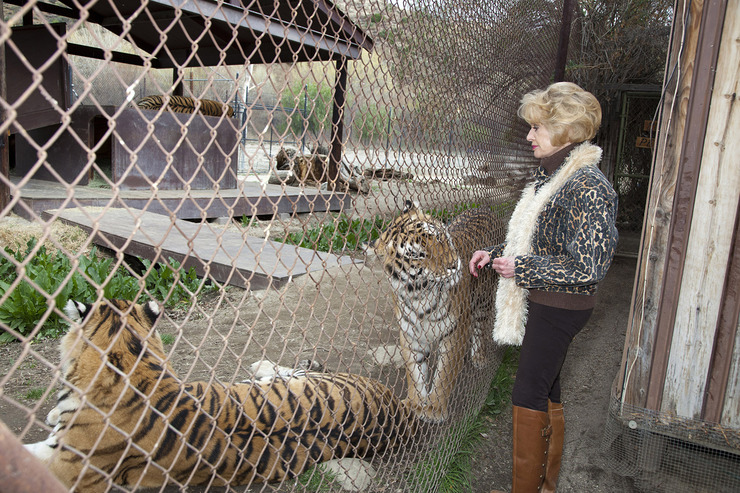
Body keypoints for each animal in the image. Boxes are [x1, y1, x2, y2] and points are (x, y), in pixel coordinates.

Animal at [23, 298, 416, 490]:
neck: (131, 365)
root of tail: (397, 407)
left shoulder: (65, 467)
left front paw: (51, 414)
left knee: (291, 369)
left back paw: (261, 364)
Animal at [376, 202, 502, 420]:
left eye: (441, 238)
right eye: (418, 255)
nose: (454, 264)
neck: (419, 295)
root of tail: (486, 209)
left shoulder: (455, 332)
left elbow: (444, 375)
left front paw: (434, 409)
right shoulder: (410, 335)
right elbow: (415, 373)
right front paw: (415, 403)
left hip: (483, 300)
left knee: (480, 326)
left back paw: (478, 357)